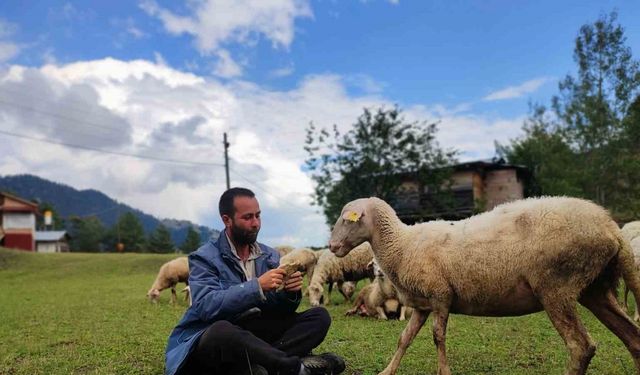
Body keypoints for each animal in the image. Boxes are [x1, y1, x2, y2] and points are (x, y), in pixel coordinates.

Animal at [328, 197, 640, 375]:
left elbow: (438, 337)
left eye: (347, 218)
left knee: (581, 347)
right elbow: (404, 338)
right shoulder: (422, 304)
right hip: (595, 289)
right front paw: (387, 371)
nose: (331, 246)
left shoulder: (441, 296)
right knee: (632, 338)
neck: (401, 243)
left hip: (556, 287)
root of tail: (611, 227)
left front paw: (444, 372)